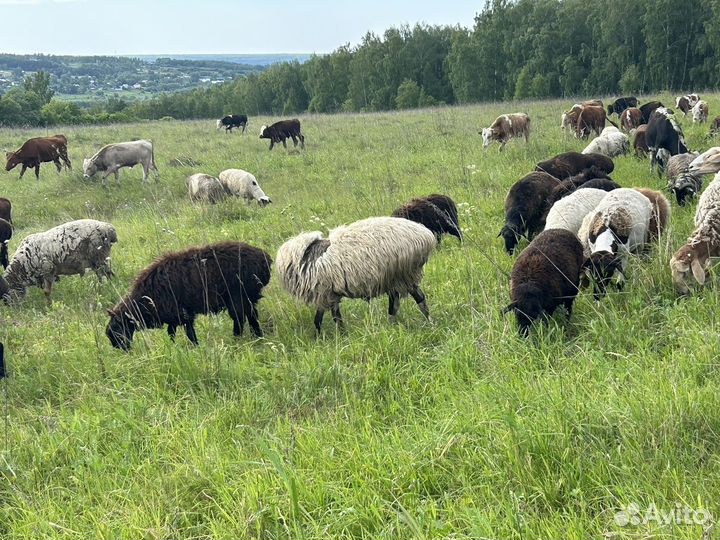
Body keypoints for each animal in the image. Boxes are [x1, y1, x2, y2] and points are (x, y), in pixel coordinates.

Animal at [106, 241, 272, 350]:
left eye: (117, 330)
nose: (122, 349)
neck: (143, 300)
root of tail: (265, 259)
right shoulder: (176, 316)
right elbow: (172, 333)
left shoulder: (182, 314)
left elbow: (188, 333)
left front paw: (194, 347)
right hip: (248, 296)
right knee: (252, 315)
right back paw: (258, 336)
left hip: (238, 296)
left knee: (240, 318)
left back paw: (237, 338)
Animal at [275, 216, 436, 332]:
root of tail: (426, 236)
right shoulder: (330, 294)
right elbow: (333, 317)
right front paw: (340, 335)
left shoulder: (324, 293)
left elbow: (323, 319)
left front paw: (326, 337)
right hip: (397, 277)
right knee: (399, 302)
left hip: (403, 273)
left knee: (415, 299)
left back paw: (427, 322)